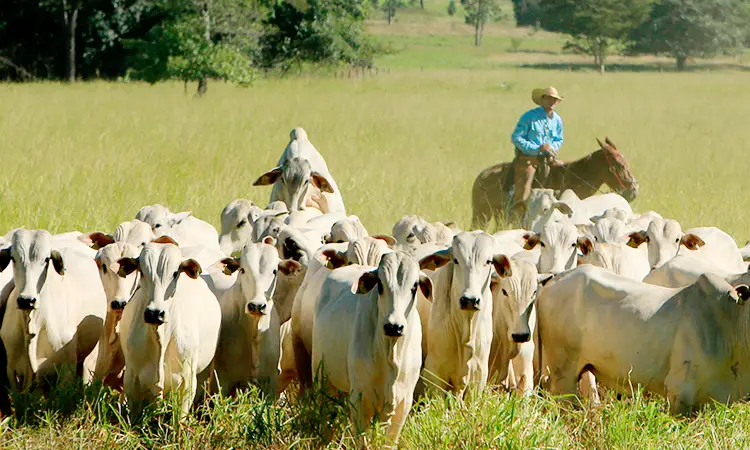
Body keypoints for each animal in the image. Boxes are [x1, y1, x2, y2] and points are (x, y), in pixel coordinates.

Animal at [0, 229, 107, 390]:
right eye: (13, 258)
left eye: (46, 259)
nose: (27, 300)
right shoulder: (12, 372)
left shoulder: (66, 370)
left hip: (90, 356)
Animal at [312, 251, 428, 444]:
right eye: (380, 284)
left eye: (414, 286)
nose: (394, 326)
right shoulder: (360, 399)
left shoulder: (403, 404)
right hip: (322, 379)